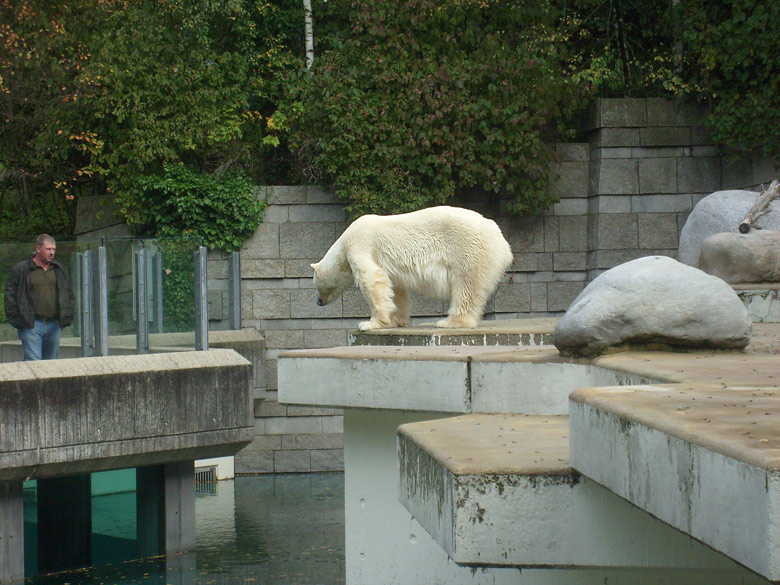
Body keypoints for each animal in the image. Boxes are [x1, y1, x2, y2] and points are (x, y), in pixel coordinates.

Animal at [310, 206, 512, 330]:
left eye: (317, 285)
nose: (318, 302)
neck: (343, 242)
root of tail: (502, 241)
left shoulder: (360, 244)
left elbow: (372, 279)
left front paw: (370, 324)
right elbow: (394, 289)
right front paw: (394, 320)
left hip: (469, 249)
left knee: (467, 287)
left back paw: (450, 321)